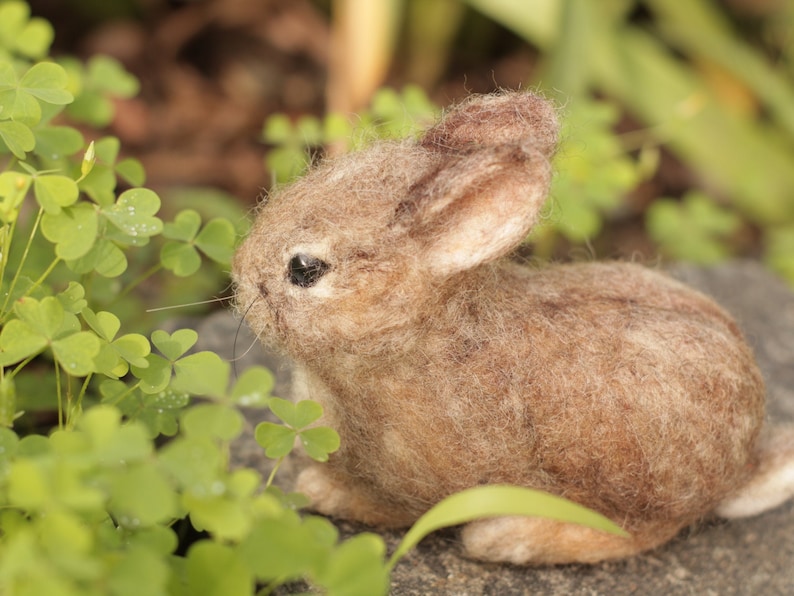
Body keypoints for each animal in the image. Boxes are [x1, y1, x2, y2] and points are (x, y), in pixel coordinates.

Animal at [232, 91, 792, 560]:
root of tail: (742, 465)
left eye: (305, 269)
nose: (238, 275)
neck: (419, 338)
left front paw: (318, 489)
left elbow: (388, 508)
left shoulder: (424, 484)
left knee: (638, 532)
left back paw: (507, 536)